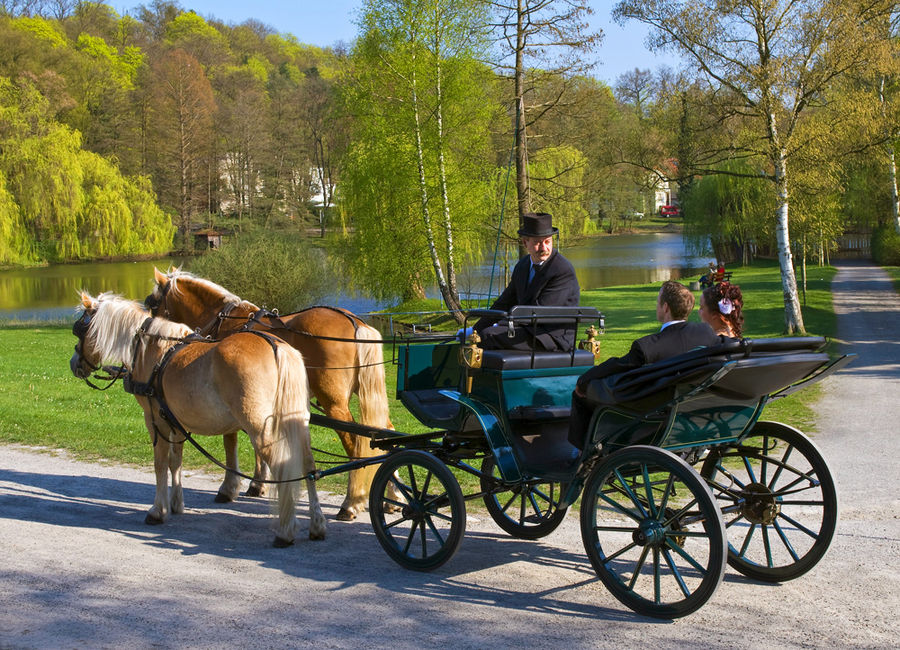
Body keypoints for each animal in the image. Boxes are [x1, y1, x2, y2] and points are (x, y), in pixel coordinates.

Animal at [68, 292, 326, 544]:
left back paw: (285, 530)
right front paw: (175, 503)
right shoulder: (175, 420)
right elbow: (175, 461)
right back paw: (316, 524)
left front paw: (158, 510)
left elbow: (160, 463)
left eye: (80, 329)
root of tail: (277, 346)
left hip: (259, 428)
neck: (153, 350)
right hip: (296, 423)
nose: (74, 364)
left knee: (283, 467)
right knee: (308, 465)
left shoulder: (155, 419)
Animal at [146, 266, 392, 520]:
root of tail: (355, 322)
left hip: (333, 403)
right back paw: (392, 497)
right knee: (384, 433)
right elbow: (255, 443)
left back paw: (351, 502)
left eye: (152, 303)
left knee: (356, 446)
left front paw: (230, 487)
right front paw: (257, 483)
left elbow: (230, 442)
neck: (226, 321)